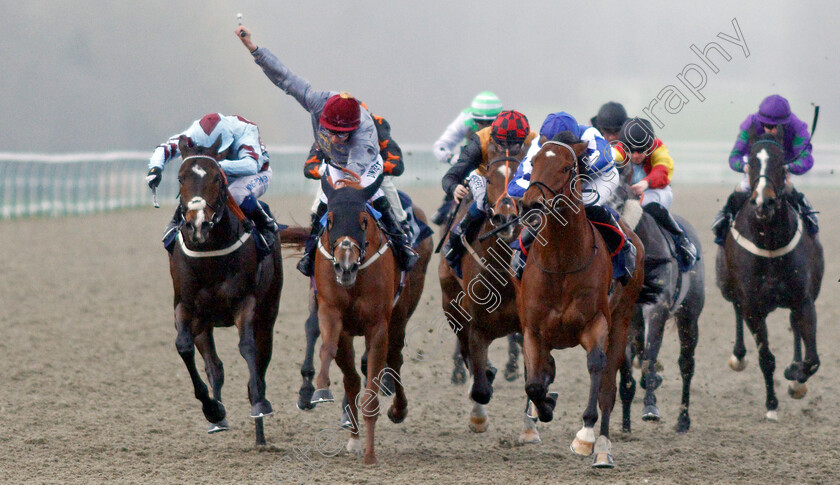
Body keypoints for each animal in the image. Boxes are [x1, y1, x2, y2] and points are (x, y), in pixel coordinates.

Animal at [166, 134, 284, 444]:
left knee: (261, 357)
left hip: (269, 311)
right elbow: (184, 347)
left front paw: (258, 406)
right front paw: (213, 410)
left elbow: (248, 348)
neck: (211, 254)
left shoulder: (246, 302)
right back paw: (218, 418)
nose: (197, 224)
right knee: (214, 365)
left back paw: (260, 422)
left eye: (218, 178)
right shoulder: (186, 306)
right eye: (180, 178)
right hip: (204, 321)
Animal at [436, 144, 540, 442]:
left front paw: (530, 426)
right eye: (491, 179)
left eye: (520, 177)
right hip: (451, 305)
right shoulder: (476, 325)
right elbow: (480, 386)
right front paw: (478, 416)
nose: (504, 218)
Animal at [512, 135, 644, 466]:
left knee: (608, 387)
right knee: (545, 369)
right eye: (534, 162)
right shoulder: (533, 329)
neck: (561, 262)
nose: (531, 203)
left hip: (622, 320)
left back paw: (603, 449)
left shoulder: (596, 324)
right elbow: (534, 382)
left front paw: (585, 437)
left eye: (566, 167)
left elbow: (596, 368)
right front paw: (546, 406)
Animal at [608, 161, 704, 432]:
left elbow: (650, 359)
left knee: (686, 365)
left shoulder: (657, 308)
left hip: (689, 317)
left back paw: (683, 420)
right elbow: (626, 368)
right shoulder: (626, 315)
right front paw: (625, 424)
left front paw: (650, 407)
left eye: (619, 202)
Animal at [712, 130, 824, 418]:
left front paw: (796, 375)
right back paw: (738, 356)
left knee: (795, 326)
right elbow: (766, 358)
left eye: (780, 162)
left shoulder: (803, 300)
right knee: (736, 309)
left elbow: (812, 360)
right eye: (751, 161)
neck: (770, 242)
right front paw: (772, 405)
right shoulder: (753, 306)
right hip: (727, 285)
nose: (764, 201)